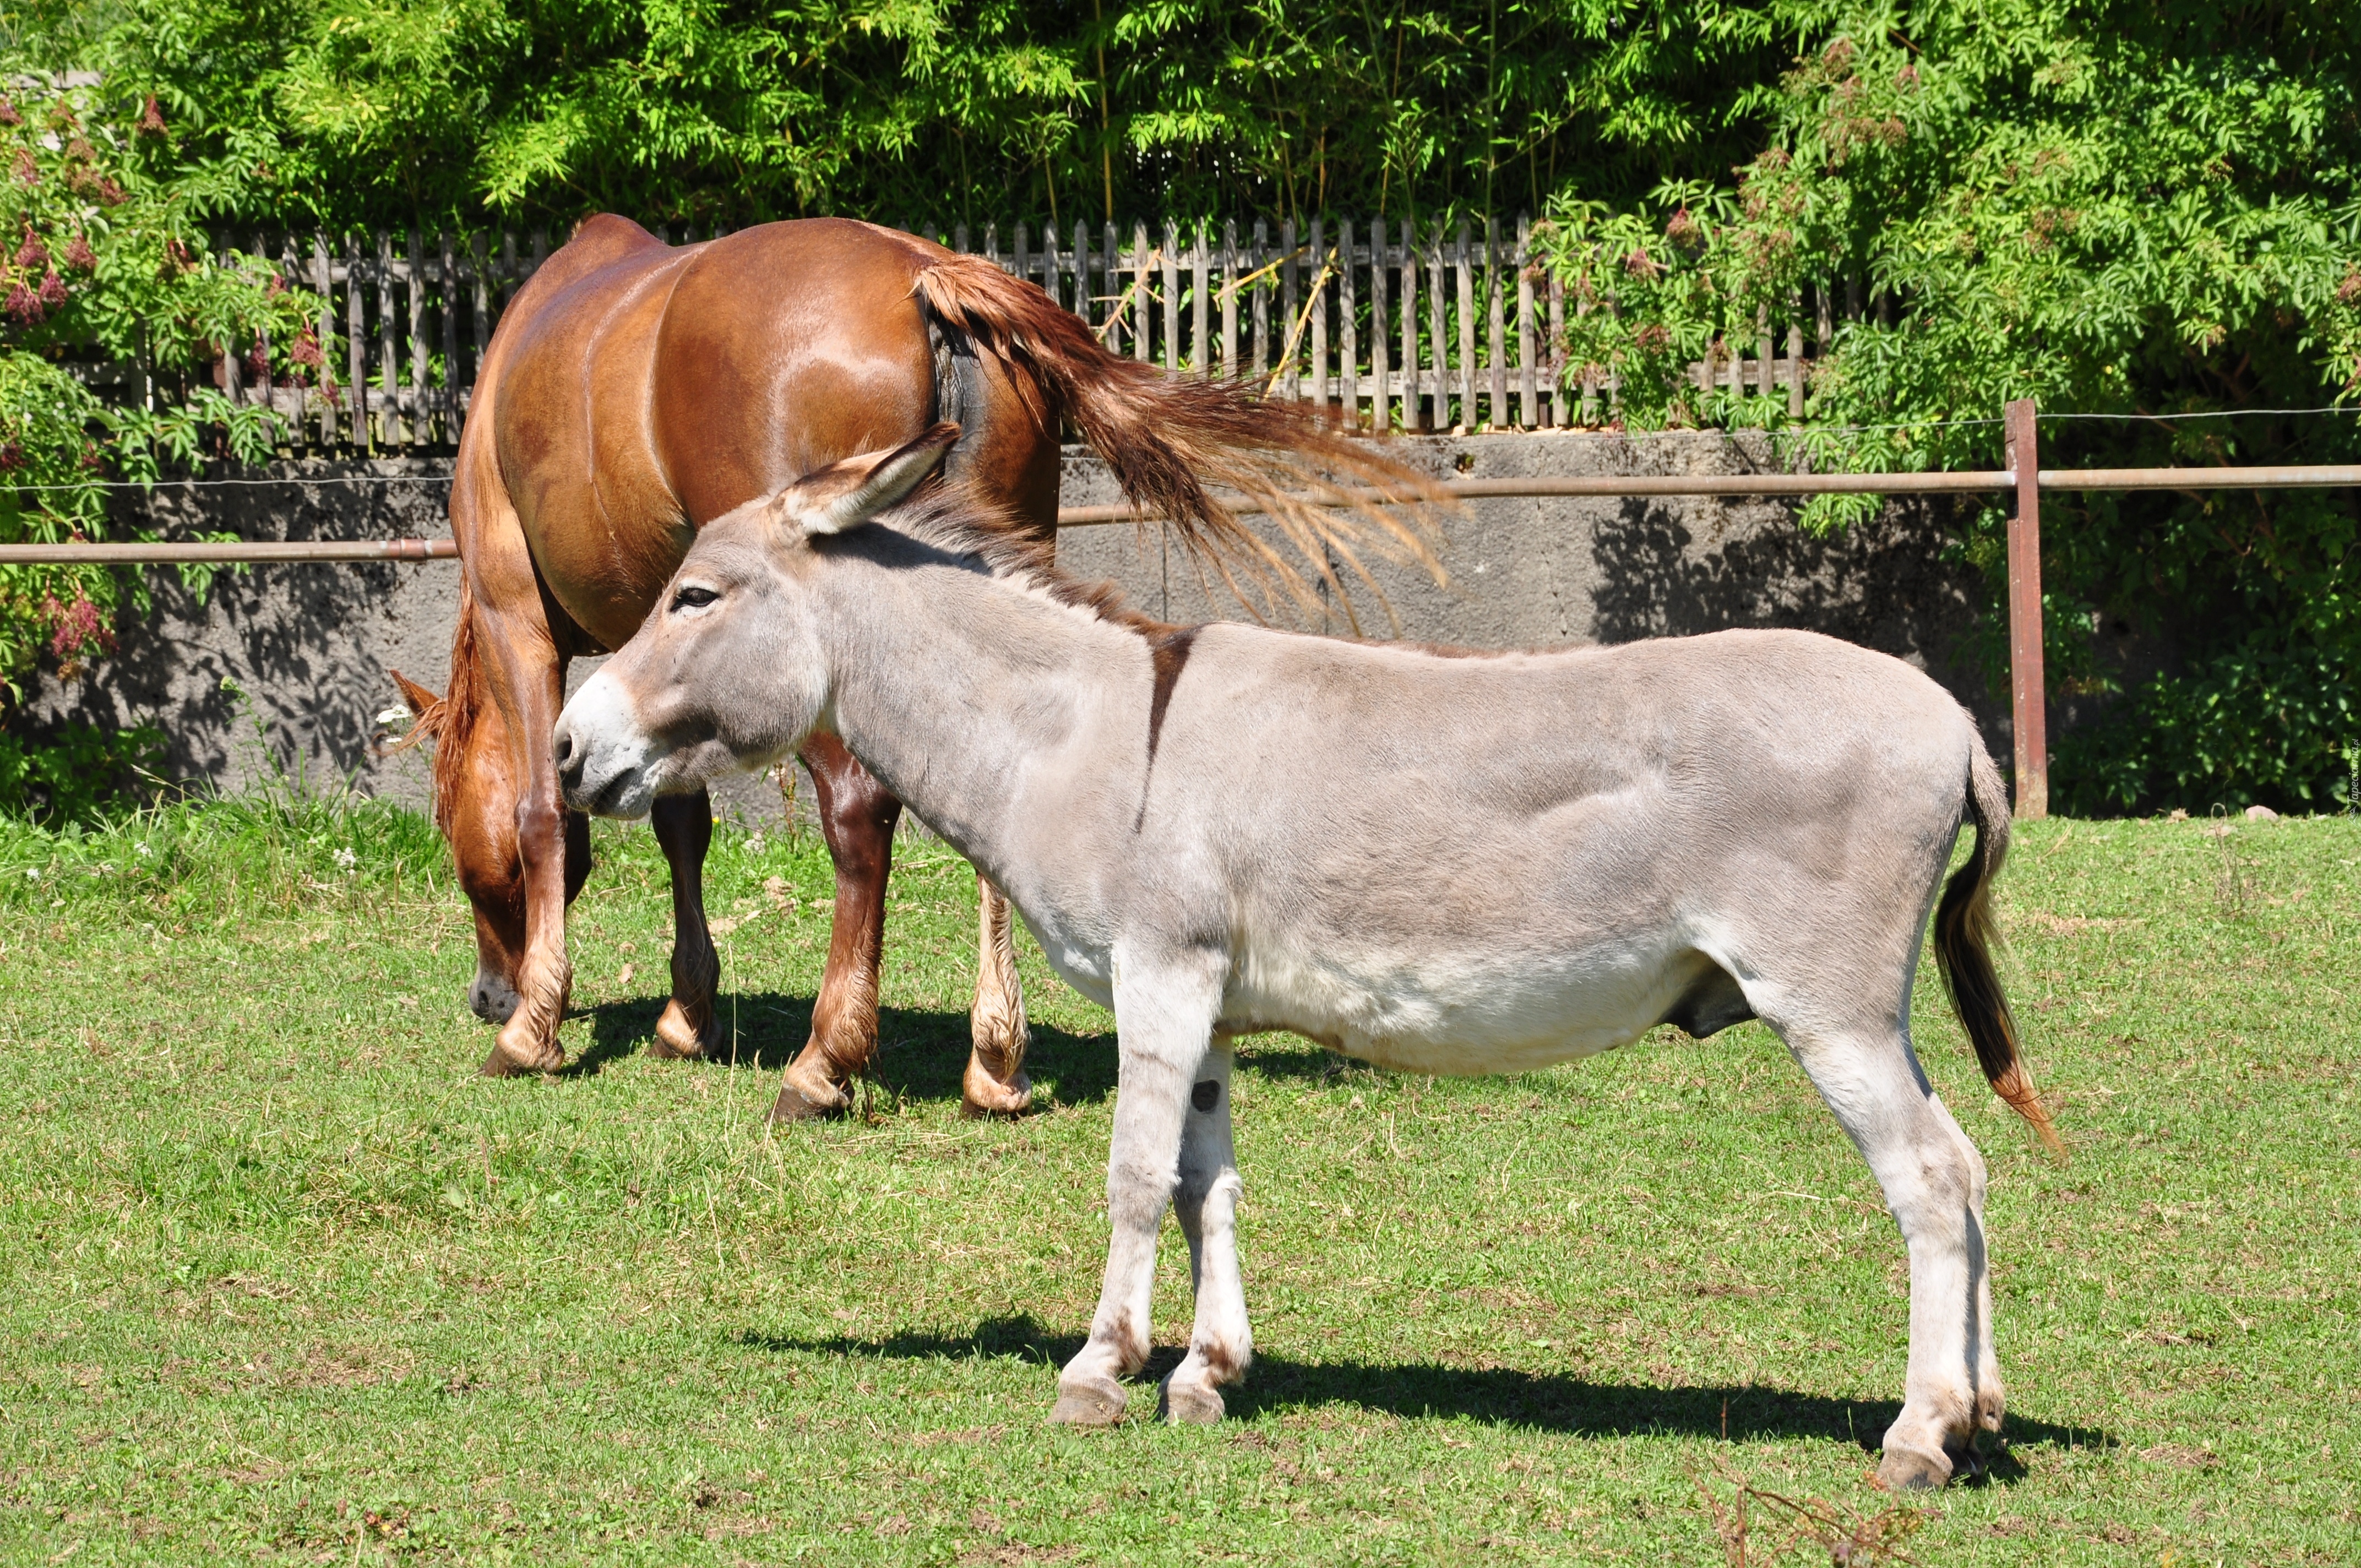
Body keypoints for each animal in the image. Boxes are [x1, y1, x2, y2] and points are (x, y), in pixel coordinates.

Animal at [394, 215, 1426, 1119]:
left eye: (448, 826)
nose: (488, 994)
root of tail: (925, 275)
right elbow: (679, 824)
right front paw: (686, 1014)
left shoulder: (519, 620)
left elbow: (543, 812)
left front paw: (535, 1028)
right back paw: (995, 1062)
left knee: (858, 814)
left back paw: (826, 1061)